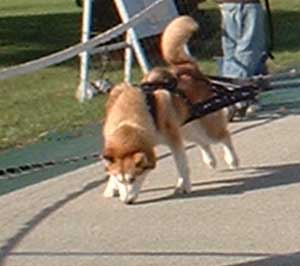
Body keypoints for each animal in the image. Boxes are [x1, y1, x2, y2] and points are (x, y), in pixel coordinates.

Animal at [102, 16, 238, 204]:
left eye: (133, 179)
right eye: (120, 179)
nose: (127, 202)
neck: (128, 120)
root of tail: (187, 68)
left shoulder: (174, 141)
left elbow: (182, 165)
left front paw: (184, 185)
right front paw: (111, 188)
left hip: (206, 125)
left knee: (224, 136)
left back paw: (232, 160)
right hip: (187, 128)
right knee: (202, 141)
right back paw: (210, 160)